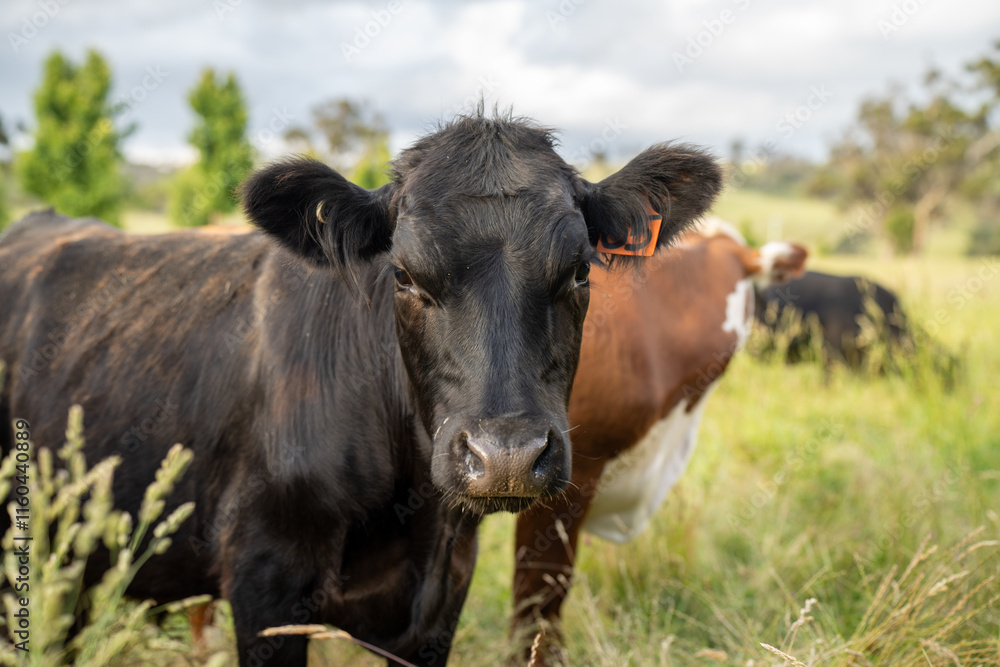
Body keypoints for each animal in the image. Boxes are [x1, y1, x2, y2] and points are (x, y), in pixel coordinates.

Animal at [0, 111, 722, 666]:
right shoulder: (265, 583)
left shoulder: (441, 601)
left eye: (579, 271)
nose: (506, 456)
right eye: (402, 274)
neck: (415, 520)